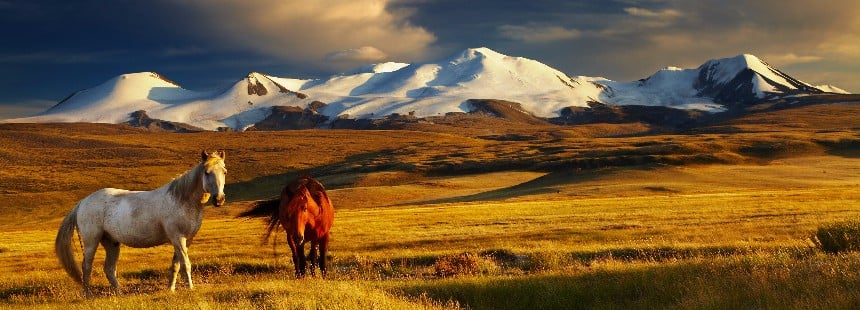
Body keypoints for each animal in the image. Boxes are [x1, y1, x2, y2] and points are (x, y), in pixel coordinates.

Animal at [55, 150, 227, 298]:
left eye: (224, 171)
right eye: (207, 172)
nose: (219, 199)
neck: (182, 200)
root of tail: (82, 202)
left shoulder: (186, 240)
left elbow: (176, 265)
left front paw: (171, 289)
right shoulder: (178, 238)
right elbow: (186, 264)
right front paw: (190, 288)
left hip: (111, 243)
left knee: (109, 269)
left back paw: (120, 293)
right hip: (91, 241)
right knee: (86, 266)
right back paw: (88, 295)